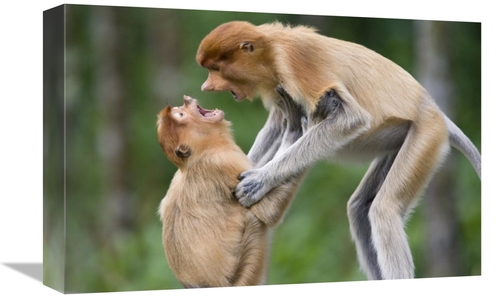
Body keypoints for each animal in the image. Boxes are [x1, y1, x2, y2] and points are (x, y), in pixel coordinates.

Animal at [158, 95, 302, 286]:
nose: (186, 100)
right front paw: (295, 126)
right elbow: (267, 212)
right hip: (247, 272)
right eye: (180, 114)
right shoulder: (225, 162)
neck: (199, 155)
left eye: (178, 110)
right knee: (254, 219)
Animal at [195, 21, 480, 280]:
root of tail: (434, 109)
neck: (271, 49)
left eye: (216, 68)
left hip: (426, 134)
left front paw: (257, 182)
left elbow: (350, 119)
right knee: (360, 208)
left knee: (384, 209)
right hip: (400, 138)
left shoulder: (297, 65)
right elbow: (276, 125)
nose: (206, 87)